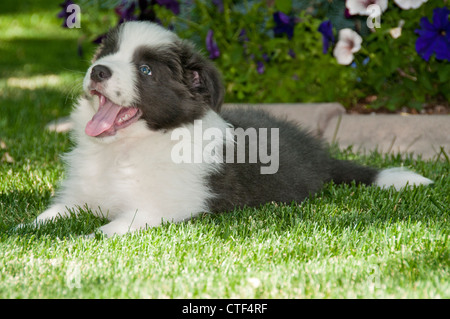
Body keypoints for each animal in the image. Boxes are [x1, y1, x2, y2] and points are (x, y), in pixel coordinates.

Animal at [31, 21, 432, 236]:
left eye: (145, 70)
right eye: (105, 54)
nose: (98, 71)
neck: (124, 150)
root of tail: (320, 155)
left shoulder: (174, 203)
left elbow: (123, 222)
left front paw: (93, 235)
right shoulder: (80, 195)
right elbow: (52, 214)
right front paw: (32, 227)